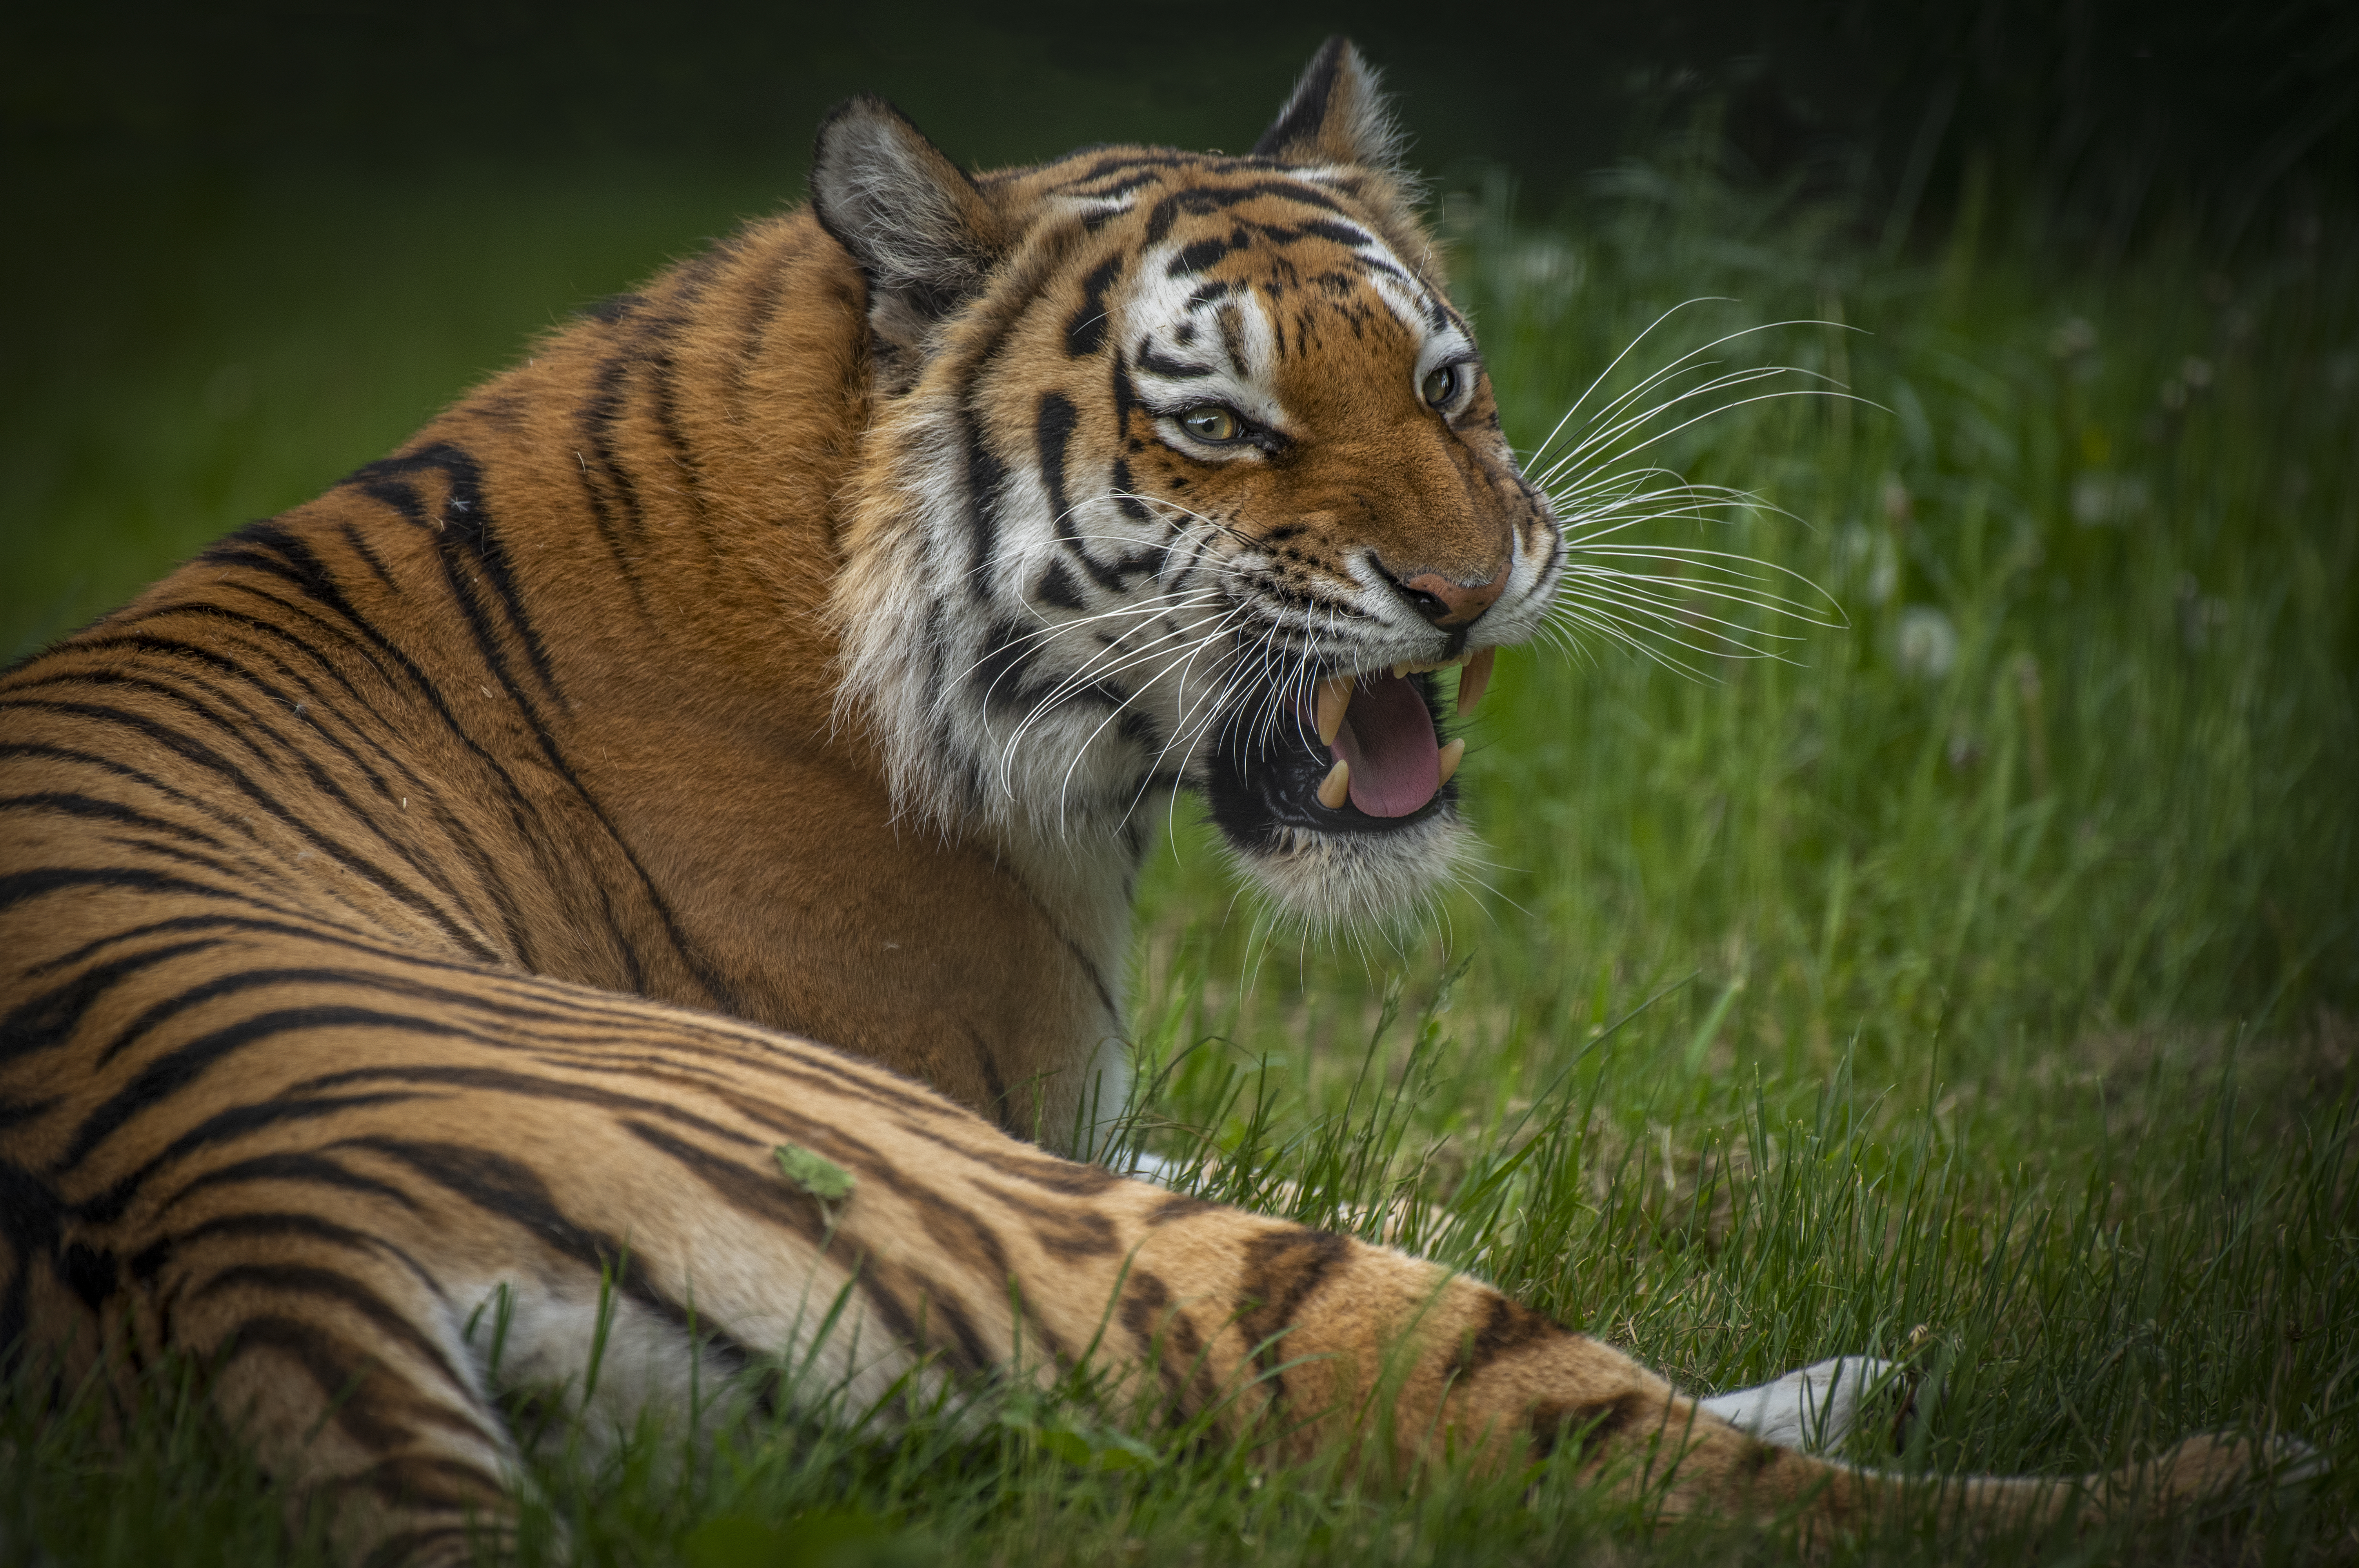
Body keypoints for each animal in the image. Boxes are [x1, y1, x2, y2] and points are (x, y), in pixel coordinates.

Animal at [0, 31, 2293, 1556]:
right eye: (1218, 423)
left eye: (1442, 383)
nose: (1470, 583)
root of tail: (245, 1247)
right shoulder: (1021, 1130)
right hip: (1027, 1222)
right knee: (1587, 1449)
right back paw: (2206, 1468)